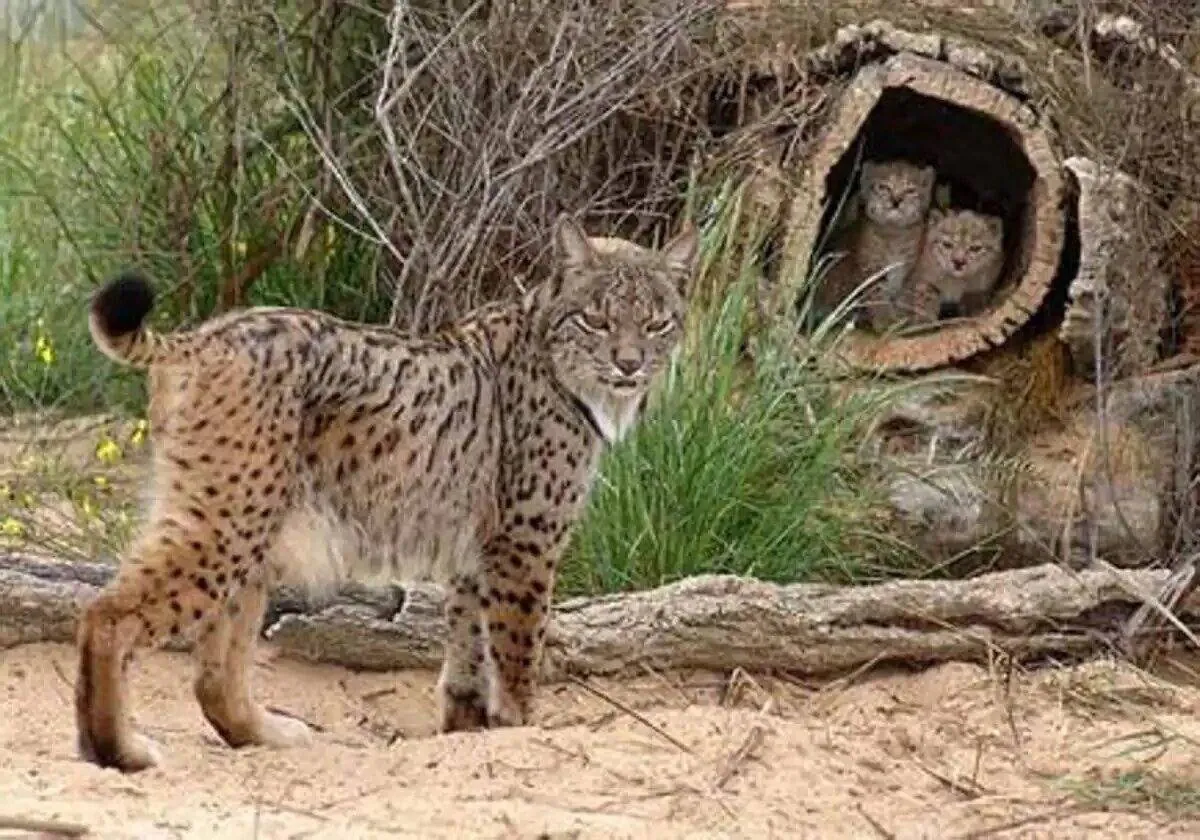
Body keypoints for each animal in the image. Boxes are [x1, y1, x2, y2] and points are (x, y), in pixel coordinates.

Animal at [75, 216, 700, 772]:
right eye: (595, 320)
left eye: (657, 324)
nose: (629, 364)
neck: (557, 358)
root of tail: (203, 336)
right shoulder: (525, 542)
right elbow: (517, 649)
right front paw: (522, 728)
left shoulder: (476, 550)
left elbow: (468, 647)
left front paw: (466, 731)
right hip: (229, 518)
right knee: (106, 613)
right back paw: (117, 752)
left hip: (250, 523)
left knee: (212, 675)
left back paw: (264, 736)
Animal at [816, 159, 936, 326]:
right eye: (883, 187)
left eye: (910, 190)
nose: (896, 201)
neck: (894, 231)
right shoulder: (872, 269)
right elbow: (878, 295)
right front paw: (885, 320)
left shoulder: (907, 270)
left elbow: (903, 295)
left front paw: (900, 318)